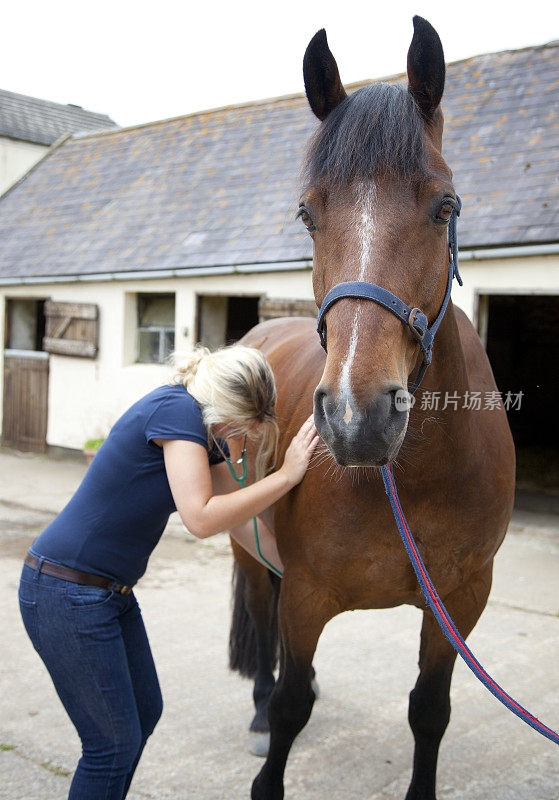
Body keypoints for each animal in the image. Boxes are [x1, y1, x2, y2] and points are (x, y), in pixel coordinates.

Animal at [229, 17, 516, 800]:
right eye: (307, 213)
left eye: (445, 206)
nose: (357, 418)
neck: (408, 479)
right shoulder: (306, 598)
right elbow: (292, 707)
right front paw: (273, 727)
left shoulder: (459, 602)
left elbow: (429, 712)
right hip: (250, 553)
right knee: (260, 621)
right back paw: (257, 706)